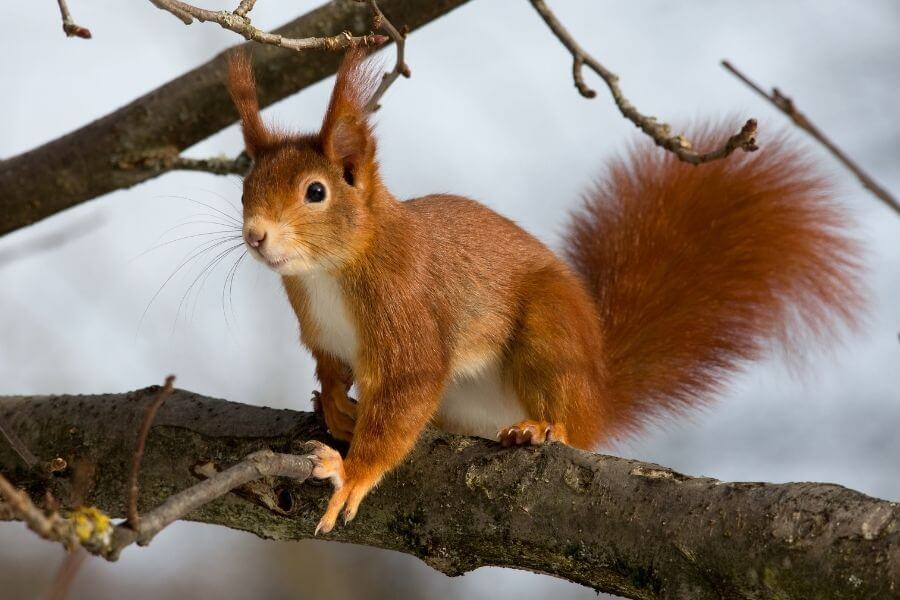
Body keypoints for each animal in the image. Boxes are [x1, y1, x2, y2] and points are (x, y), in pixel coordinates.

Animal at [226, 49, 862, 534]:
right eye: (244, 187)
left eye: (315, 192)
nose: (256, 235)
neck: (328, 270)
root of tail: (599, 389)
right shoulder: (320, 329)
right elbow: (331, 366)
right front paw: (334, 402)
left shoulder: (406, 314)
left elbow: (408, 393)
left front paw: (352, 473)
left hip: (549, 335)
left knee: (572, 426)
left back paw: (542, 428)